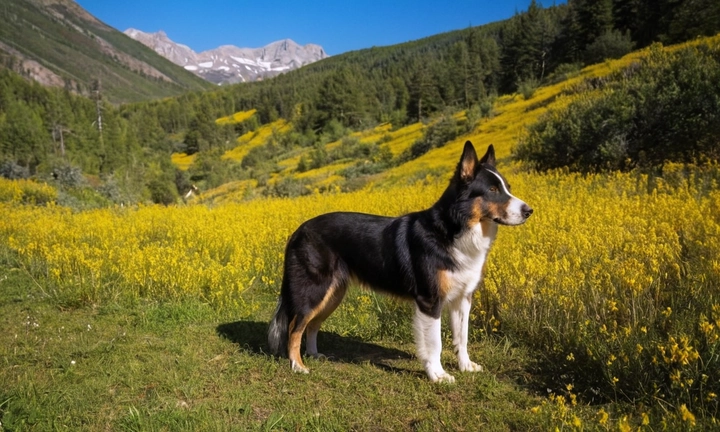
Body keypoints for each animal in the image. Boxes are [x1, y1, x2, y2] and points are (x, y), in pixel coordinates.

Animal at [268, 141, 532, 382]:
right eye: (492, 189)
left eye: (507, 188)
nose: (529, 211)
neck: (452, 230)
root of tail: (297, 232)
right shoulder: (429, 301)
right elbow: (434, 343)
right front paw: (438, 375)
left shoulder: (462, 299)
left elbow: (462, 338)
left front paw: (466, 366)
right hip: (314, 290)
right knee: (295, 327)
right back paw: (297, 365)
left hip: (332, 294)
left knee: (311, 325)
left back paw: (313, 355)